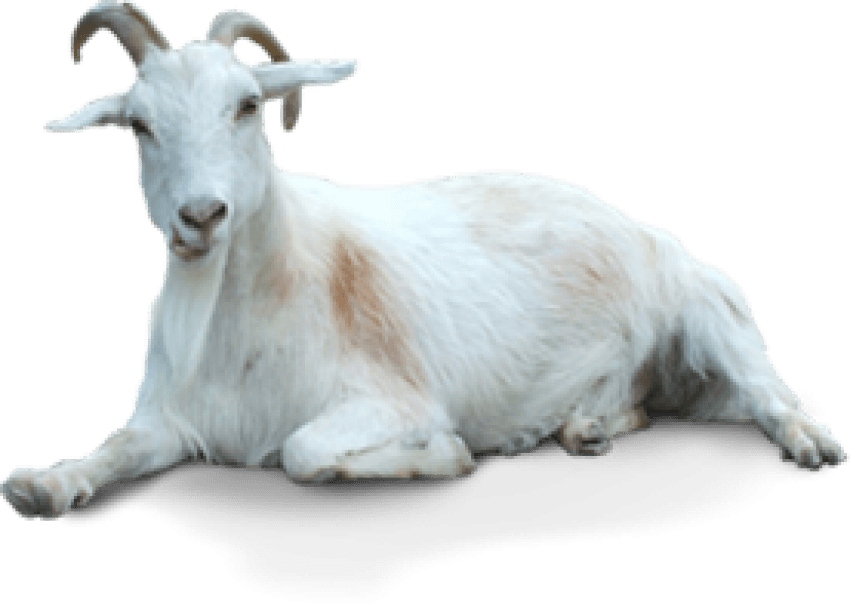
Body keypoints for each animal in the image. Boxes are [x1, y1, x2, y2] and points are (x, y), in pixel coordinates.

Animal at [1, 1, 845, 519]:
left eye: (246, 105)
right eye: (139, 124)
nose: (201, 217)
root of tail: (630, 222)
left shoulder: (391, 398)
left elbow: (303, 453)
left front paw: (446, 457)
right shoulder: (172, 420)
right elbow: (117, 447)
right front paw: (41, 484)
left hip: (709, 307)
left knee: (766, 390)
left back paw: (808, 443)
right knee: (639, 406)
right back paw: (584, 429)